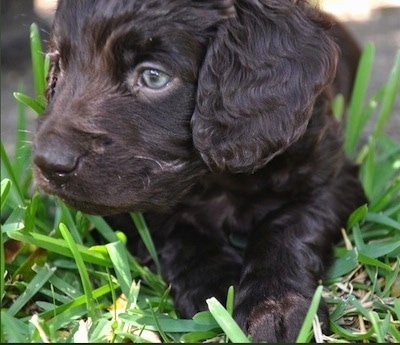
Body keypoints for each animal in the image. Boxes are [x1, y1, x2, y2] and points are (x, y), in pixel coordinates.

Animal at [32, 0, 368, 340]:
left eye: (154, 77)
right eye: (59, 64)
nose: (49, 162)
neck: (214, 178)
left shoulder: (331, 179)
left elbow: (286, 227)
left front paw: (276, 308)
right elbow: (179, 232)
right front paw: (218, 290)